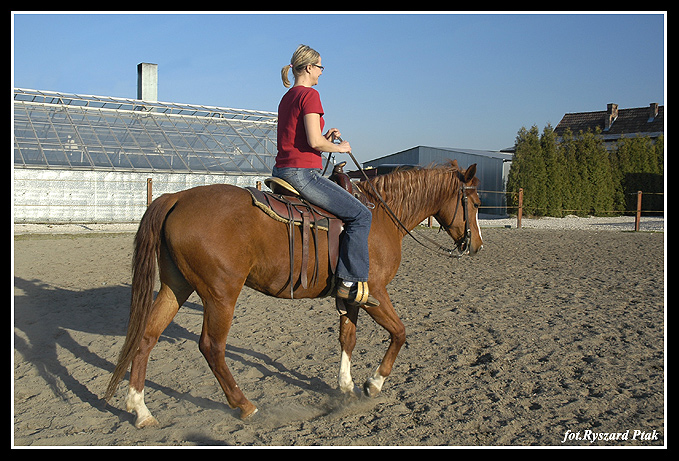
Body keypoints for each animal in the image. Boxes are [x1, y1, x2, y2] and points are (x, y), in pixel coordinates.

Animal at [103, 160, 484, 426]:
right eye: (476, 203)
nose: (477, 246)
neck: (381, 215)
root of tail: (177, 197)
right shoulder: (375, 292)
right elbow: (400, 333)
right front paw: (373, 384)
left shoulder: (352, 295)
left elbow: (348, 337)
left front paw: (345, 387)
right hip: (221, 294)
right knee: (211, 347)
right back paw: (245, 406)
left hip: (176, 286)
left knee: (147, 336)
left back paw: (140, 410)